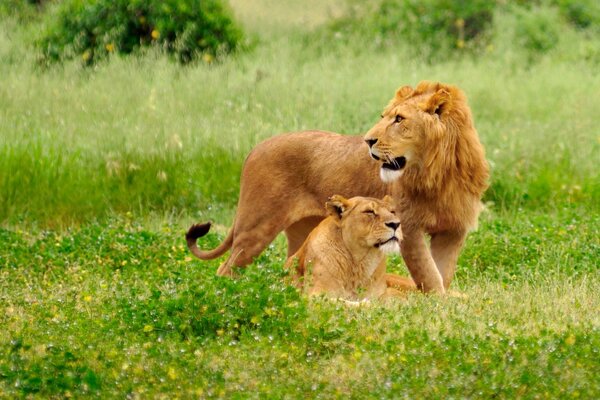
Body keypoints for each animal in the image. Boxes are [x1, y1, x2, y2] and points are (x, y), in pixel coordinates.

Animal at [284, 195, 414, 302]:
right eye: (369, 212)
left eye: (392, 212)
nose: (396, 224)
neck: (359, 262)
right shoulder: (316, 295)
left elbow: (392, 296)